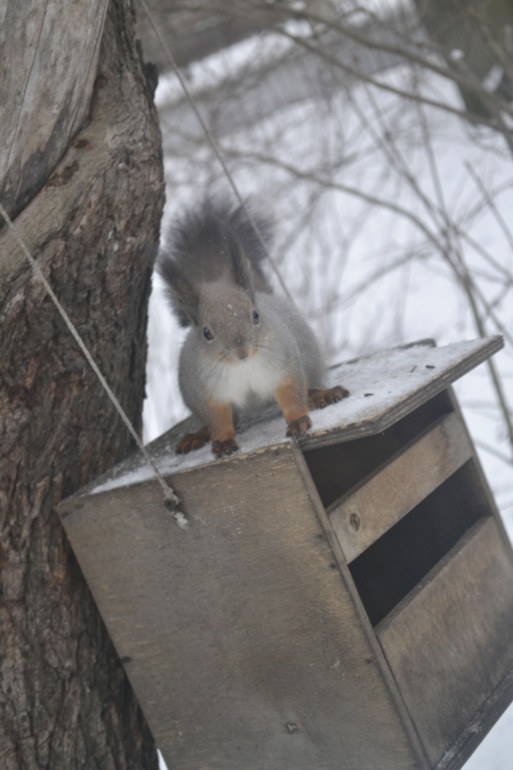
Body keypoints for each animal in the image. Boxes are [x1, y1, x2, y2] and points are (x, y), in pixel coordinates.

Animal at [157, 198, 349, 458]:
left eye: (255, 315)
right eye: (206, 333)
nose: (243, 352)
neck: (243, 368)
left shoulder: (284, 365)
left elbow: (292, 393)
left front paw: (297, 421)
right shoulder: (209, 391)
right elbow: (218, 418)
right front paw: (223, 441)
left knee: (307, 388)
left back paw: (322, 394)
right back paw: (198, 435)